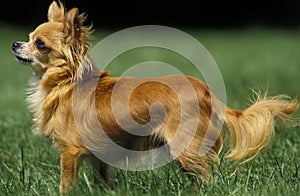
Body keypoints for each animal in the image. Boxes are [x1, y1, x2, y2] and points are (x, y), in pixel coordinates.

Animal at [11, 0, 298, 194]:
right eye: (28, 38)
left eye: (40, 44)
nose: (15, 44)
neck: (66, 81)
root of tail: (206, 90)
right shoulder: (100, 156)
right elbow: (103, 182)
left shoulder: (70, 152)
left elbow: (65, 185)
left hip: (186, 148)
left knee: (209, 180)